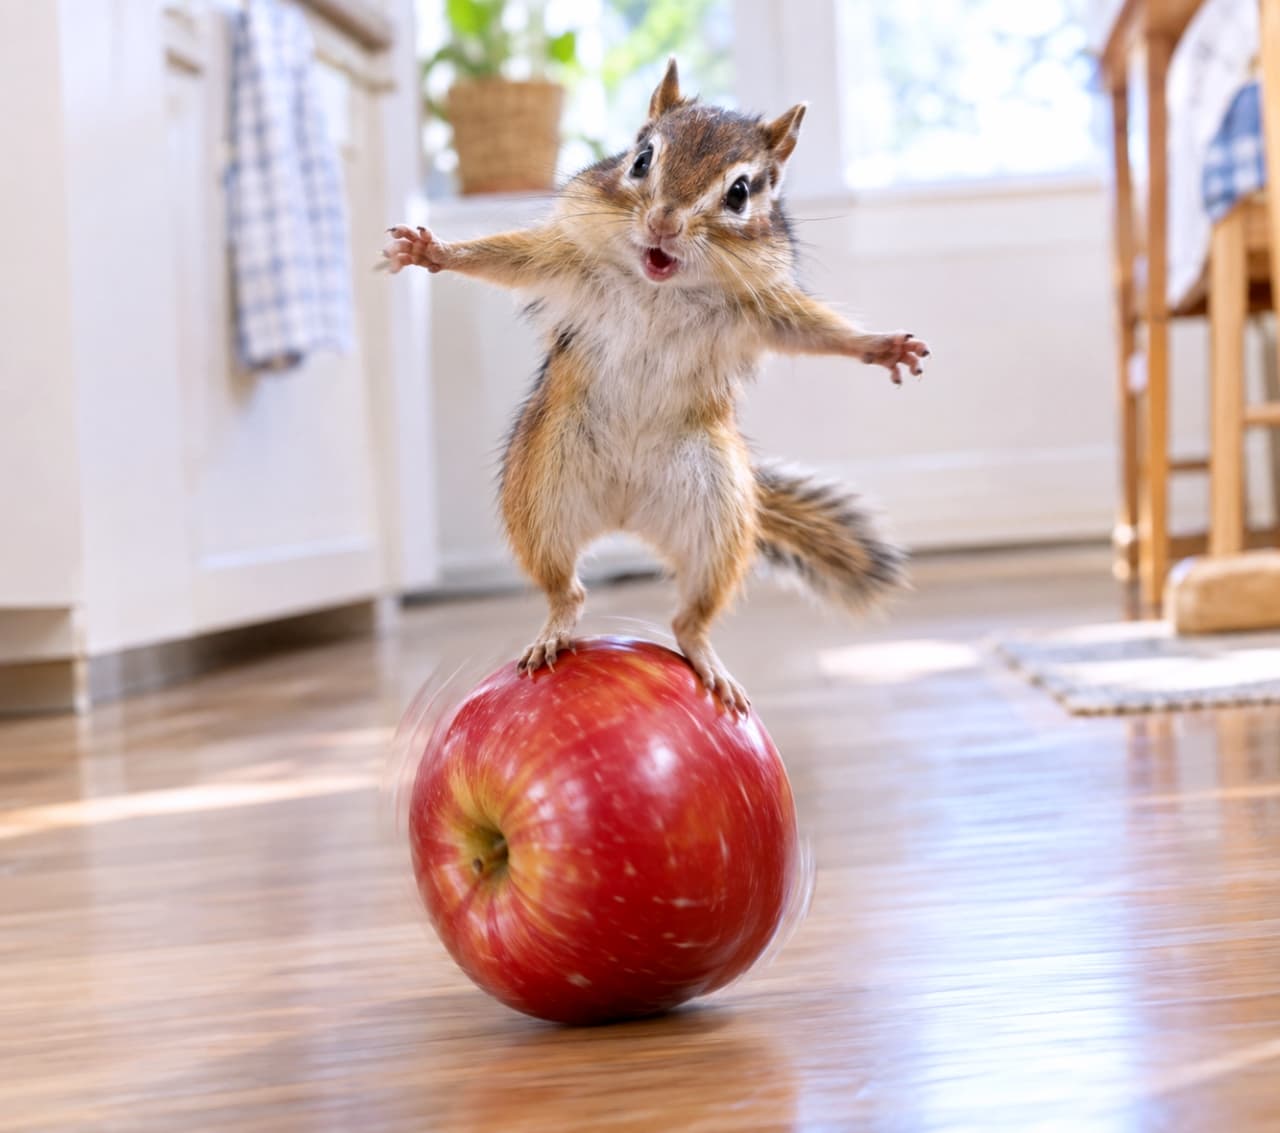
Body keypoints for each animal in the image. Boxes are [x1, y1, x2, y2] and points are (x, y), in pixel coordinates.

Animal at [384, 58, 928, 712]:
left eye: (740, 192)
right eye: (641, 159)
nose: (664, 222)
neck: (659, 287)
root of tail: (626, 514)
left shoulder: (766, 309)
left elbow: (816, 331)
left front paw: (882, 346)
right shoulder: (563, 256)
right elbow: (503, 258)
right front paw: (430, 249)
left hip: (718, 518)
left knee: (689, 615)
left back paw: (704, 657)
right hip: (540, 495)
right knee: (566, 589)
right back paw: (555, 630)